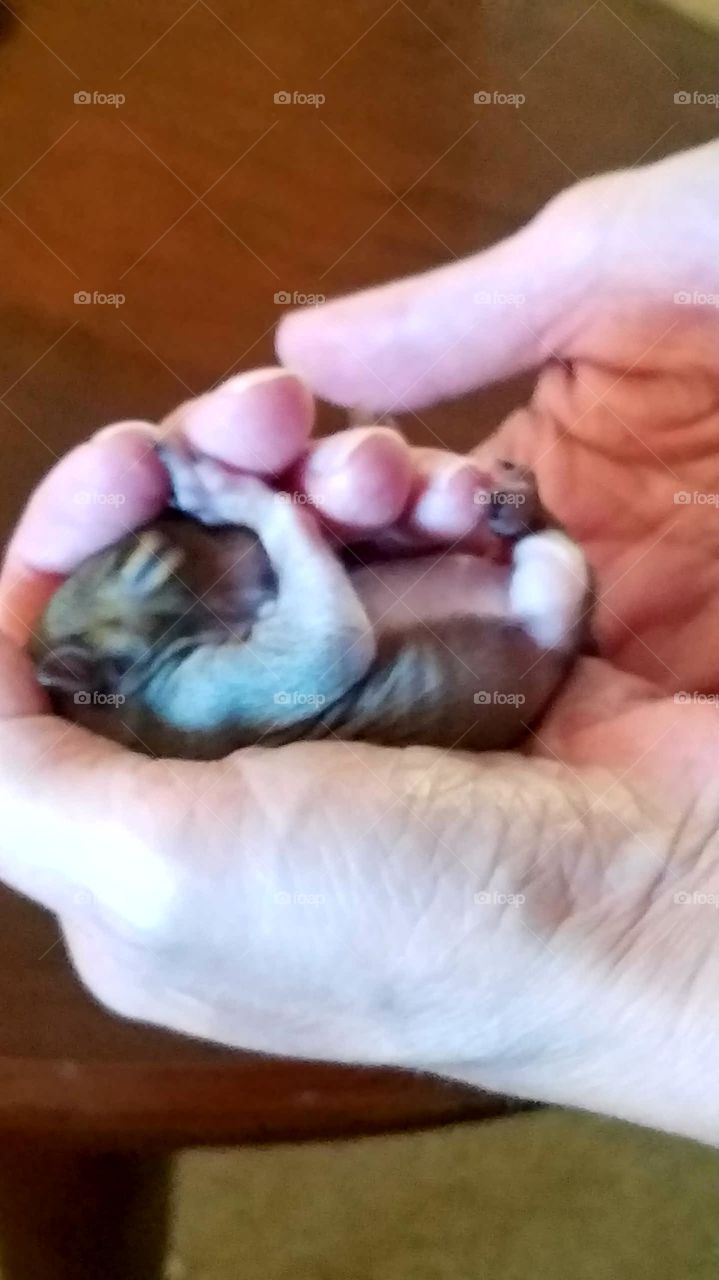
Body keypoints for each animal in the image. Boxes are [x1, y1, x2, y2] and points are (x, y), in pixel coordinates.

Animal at [29, 442, 588, 757]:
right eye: (142, 561)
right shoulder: (193, 699)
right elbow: (329, 648)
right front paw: (218, 488)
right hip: (550, 593)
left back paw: (517, 501)